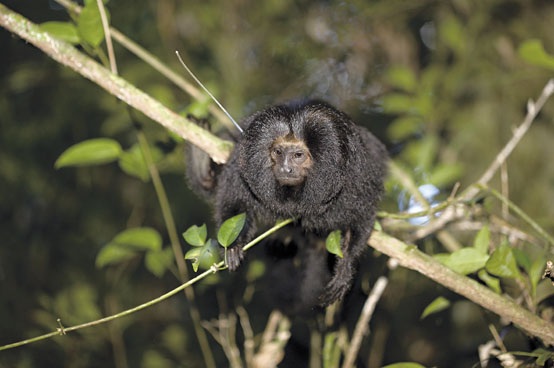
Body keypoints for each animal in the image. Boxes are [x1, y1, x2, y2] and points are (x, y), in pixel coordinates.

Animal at [185, 100, 384, 308]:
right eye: (278, 152)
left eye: (298, 155)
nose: (285, 169)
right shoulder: (241, 165)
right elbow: (235, 203)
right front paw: (233, 246)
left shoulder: (354, 177)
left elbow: (361, 217)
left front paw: (345, 267)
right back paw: (201, 165)